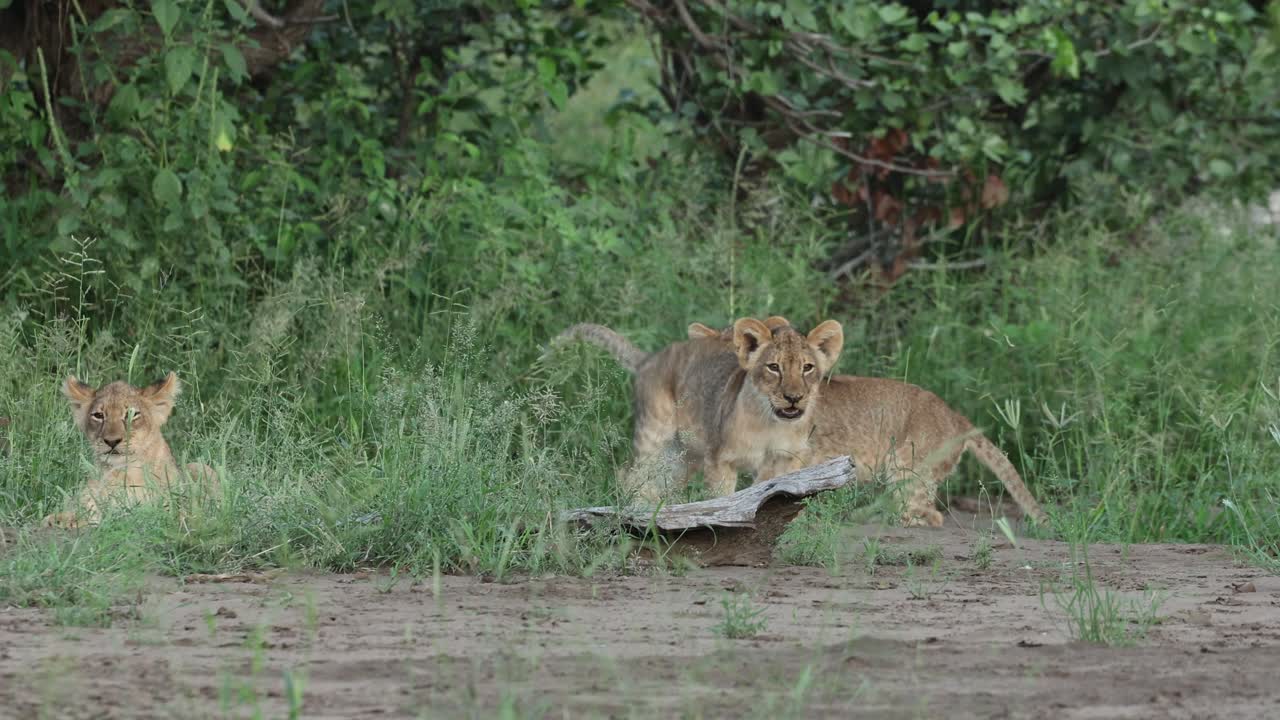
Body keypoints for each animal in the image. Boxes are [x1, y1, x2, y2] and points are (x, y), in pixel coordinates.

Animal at [44, 372, 218, 528]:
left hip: (200, 467)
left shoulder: (174, 508)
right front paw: (62, 519)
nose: (112, 441)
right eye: (99, 415)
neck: (122, 473)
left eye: (131, 414)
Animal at [556, 317, 843, 502]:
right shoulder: (719, 459)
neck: (770, 424)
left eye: (807, 368)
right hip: (654, 434)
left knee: (657, 485)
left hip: (683, 456)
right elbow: (720, 499)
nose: (793, 398)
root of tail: (650, 358)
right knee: (630, 475)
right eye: (774, 367)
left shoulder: (786, 459)